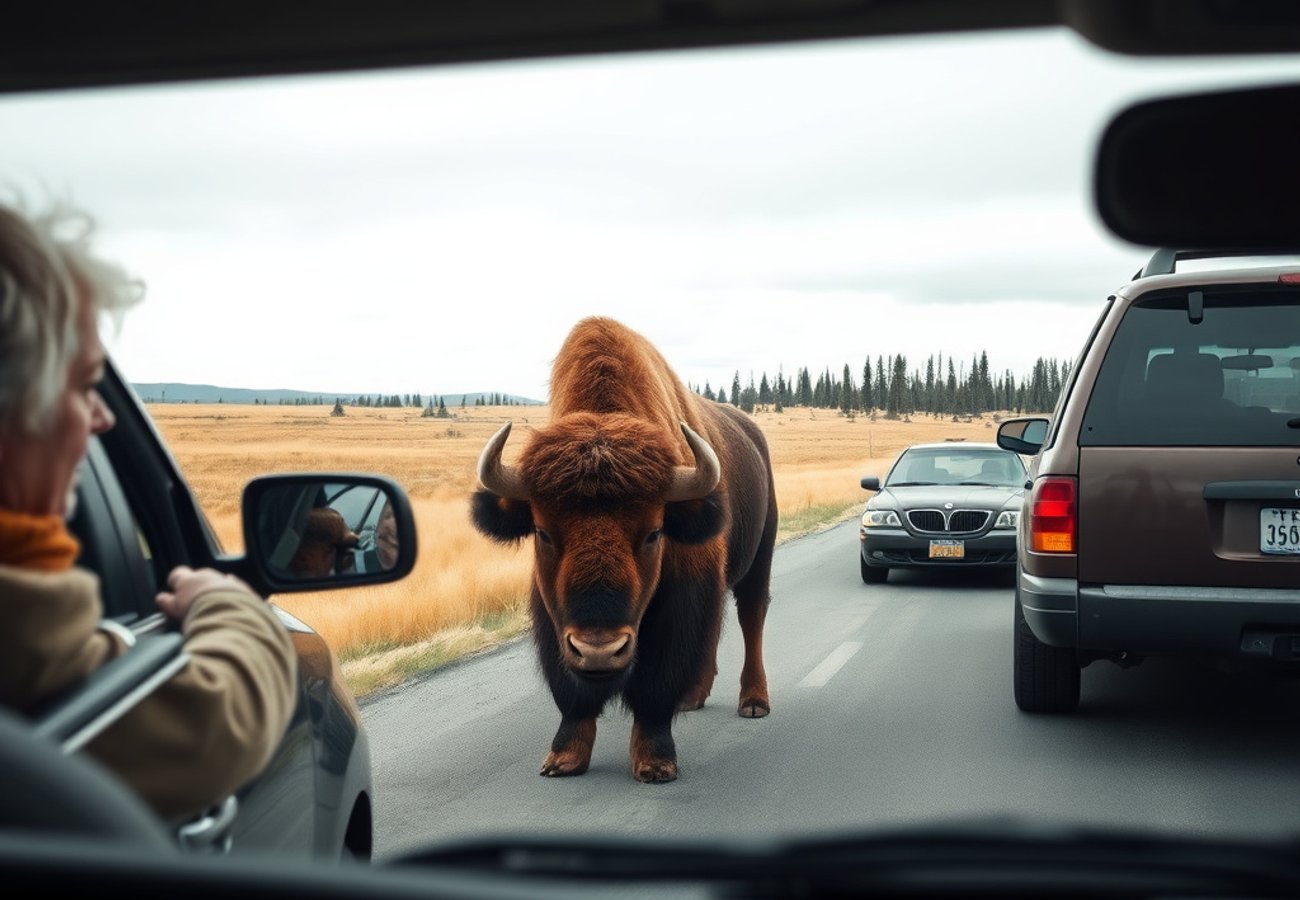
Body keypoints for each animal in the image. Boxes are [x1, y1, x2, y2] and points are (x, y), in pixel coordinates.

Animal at [471, 317, 775, 782]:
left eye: (654, 532)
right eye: (541, 531)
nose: (599, 649)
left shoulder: (676, 606)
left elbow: (655, 687)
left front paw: (655, 762)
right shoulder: (554, 620)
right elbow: (571, 696)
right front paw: (562, 760)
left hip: (760, 559)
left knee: (751, 617)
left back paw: (754, 702)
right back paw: (694, 697)